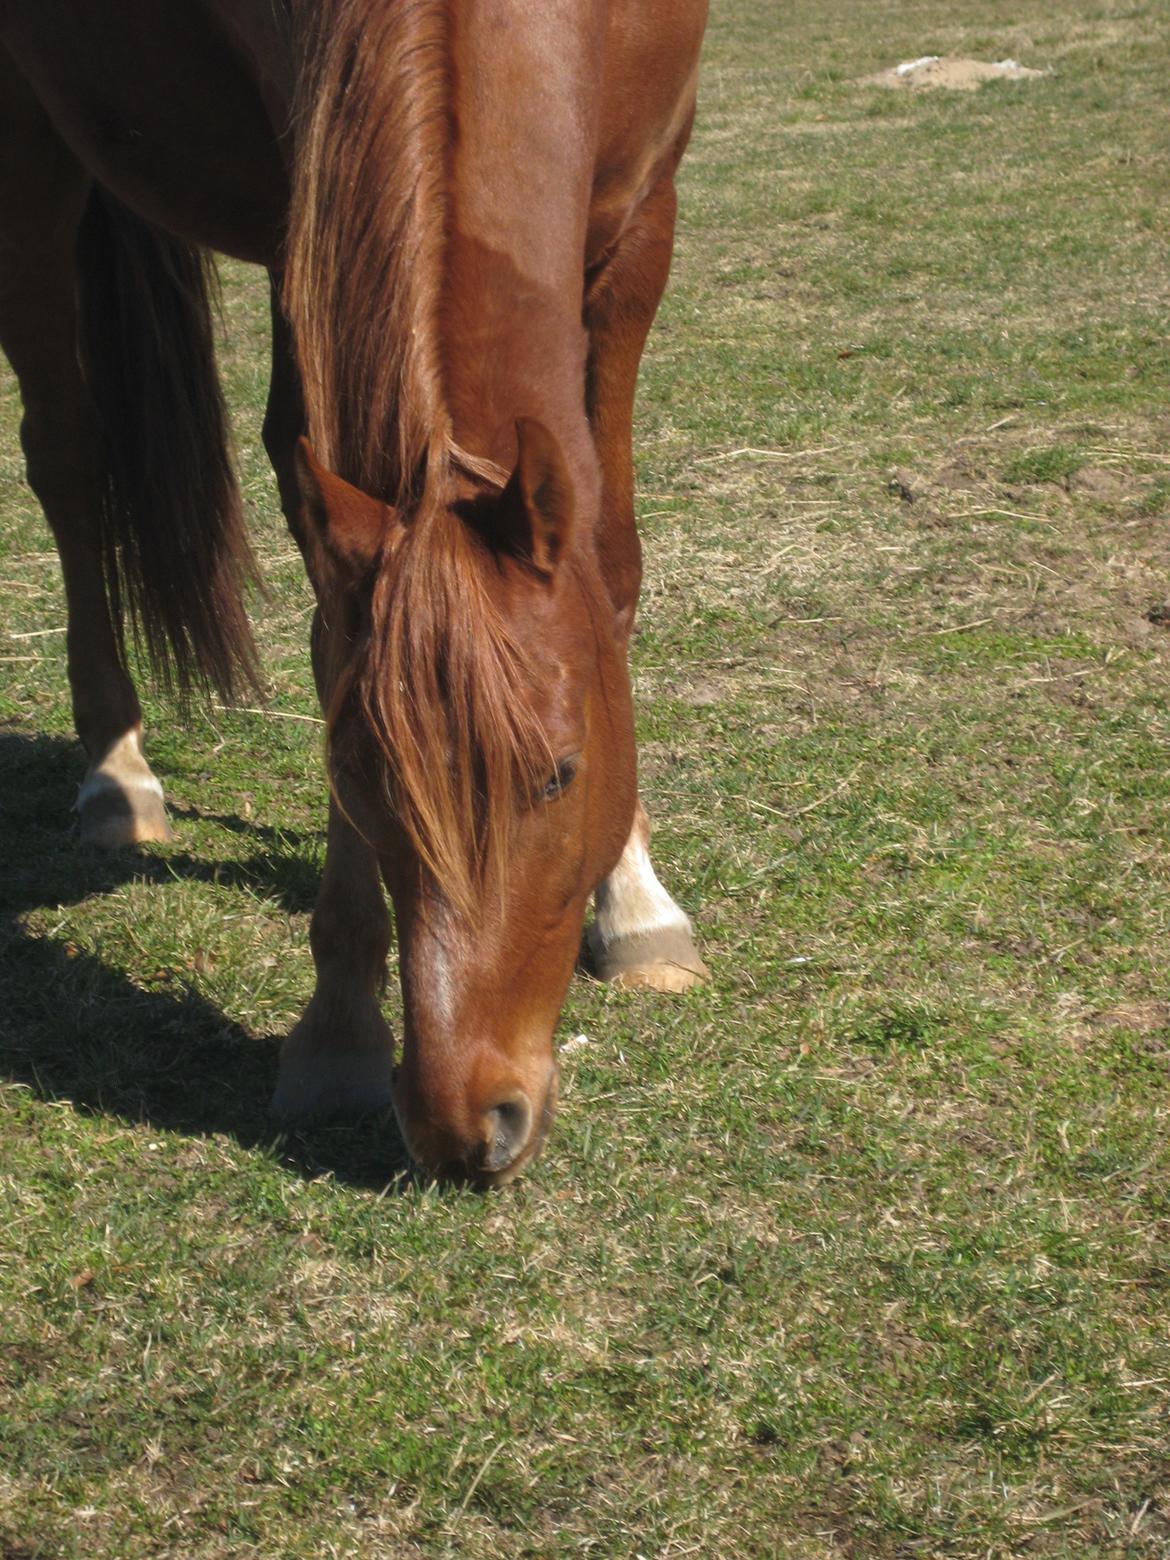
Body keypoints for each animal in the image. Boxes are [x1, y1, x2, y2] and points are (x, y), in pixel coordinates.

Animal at [0, 0, 711, 1179]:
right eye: (356, 768)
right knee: (64, 449)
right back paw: (115, 770)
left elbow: (610, 565)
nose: (468, 1123)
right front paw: (336, 1029)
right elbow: (333, 627)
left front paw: (636, 899)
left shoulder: (642, 224)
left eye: (561, 776)